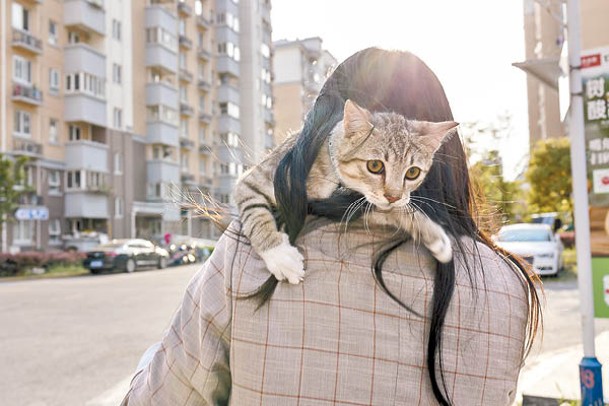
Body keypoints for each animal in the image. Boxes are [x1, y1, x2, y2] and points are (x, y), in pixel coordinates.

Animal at [233, 100, 456, 286]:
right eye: (375, 166)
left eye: (412, 172)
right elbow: (256, 216)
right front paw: (280, 256)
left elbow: (390, 211)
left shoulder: (362, 203)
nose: (393, 196)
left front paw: (434, 236)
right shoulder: (253, 180)